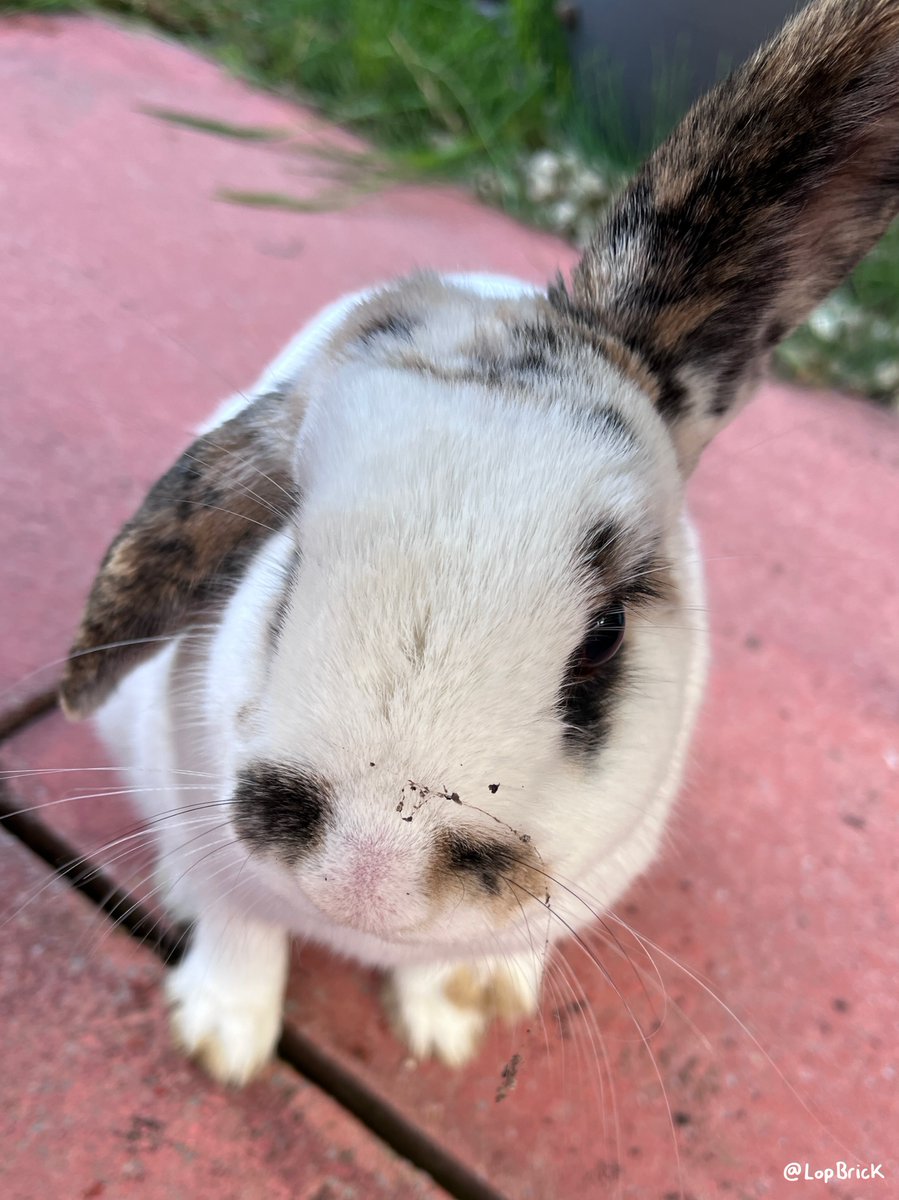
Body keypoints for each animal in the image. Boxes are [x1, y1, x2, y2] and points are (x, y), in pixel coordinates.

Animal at [59, 0, 899, 1085]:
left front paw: (443, 1032)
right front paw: (222, 1045)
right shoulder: (213, 831)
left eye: (603, 637)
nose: (369, 868)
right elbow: (244, 934)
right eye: (288, 564)